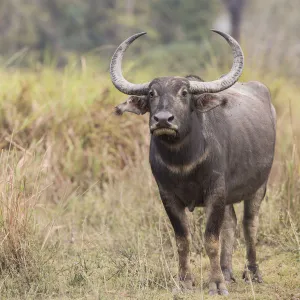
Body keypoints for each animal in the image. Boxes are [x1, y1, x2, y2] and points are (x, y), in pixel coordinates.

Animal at [109, 29, 276, 296]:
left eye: (184, 93)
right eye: (152, 94)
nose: (163, 119)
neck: (183, 161)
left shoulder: (215, 191)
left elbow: (210, 239)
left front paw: (216, 284)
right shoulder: (167, 195)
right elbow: (183, 240)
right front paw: (185, 281)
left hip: (259, 185)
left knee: (249, 224)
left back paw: (252, 272)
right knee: (231, 223)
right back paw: (227, 271)